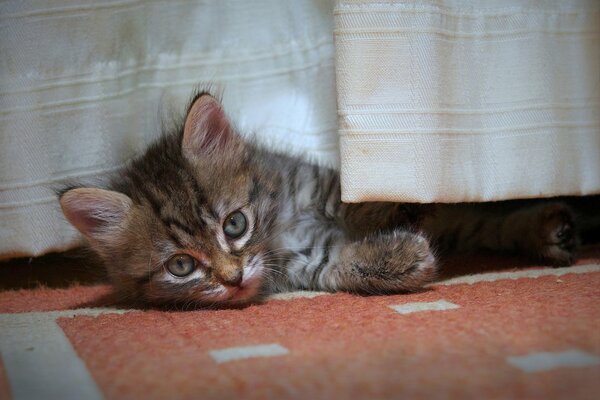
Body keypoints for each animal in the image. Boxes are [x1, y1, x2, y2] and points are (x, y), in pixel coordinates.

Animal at [58, 92, 580, 308]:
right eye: (181, 267)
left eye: (234, 224)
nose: (232, 280)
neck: (280, 227)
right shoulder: (309, 264)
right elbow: (343, 265)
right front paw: (403, 257)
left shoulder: (322, 185)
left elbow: (356, 200)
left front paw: (383, 210)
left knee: (479, 217)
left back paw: (549, 227)